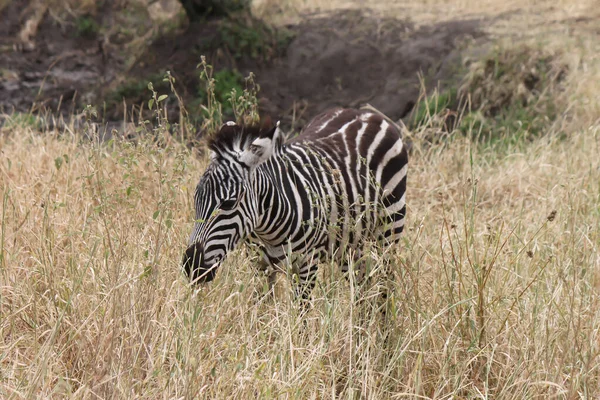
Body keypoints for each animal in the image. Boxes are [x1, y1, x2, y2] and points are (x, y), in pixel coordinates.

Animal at [183, 108, 408, 304]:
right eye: (196, 199)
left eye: (229, 203)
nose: (191, 265)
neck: (267, 230)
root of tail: (366, 113)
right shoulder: (260, 265)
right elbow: (262, 311)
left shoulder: (306, 266)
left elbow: (301, 319)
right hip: (348, 243)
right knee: (363, 286)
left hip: (389, 228)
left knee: (385, 283)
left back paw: (385, 326)